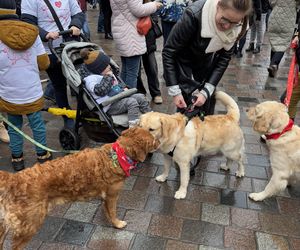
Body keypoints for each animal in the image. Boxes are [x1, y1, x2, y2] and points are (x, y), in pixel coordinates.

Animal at [0, 128, 159, 249]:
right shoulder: (112, 195)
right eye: (152, 139)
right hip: (30, 225)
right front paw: (117, 224)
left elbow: (107, 210)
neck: (118, 154)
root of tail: (14, 178)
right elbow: (113, 212)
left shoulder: (106, 197)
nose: (160, 141)